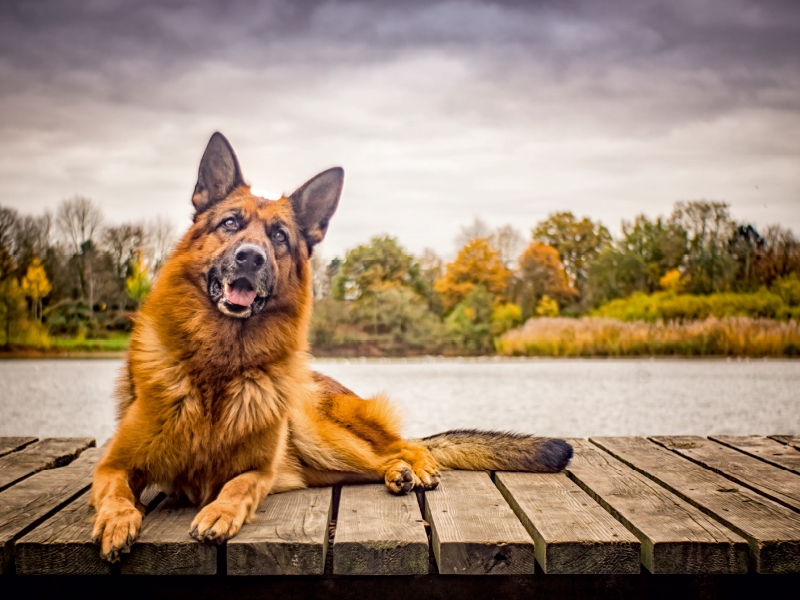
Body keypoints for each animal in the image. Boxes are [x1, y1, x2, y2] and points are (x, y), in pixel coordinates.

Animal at [89, 132, 576, 564]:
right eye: (229, 223)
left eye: (280, 236)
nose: (251, 257)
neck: (220, 367)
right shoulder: (113, 465)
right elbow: (114, 492)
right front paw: (116, 523)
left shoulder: (258, 471)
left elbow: (237, 487)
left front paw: (219, 512)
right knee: (381, 458)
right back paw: (398, 474)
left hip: (318, 434)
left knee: (402, 447)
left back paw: (414, 468)